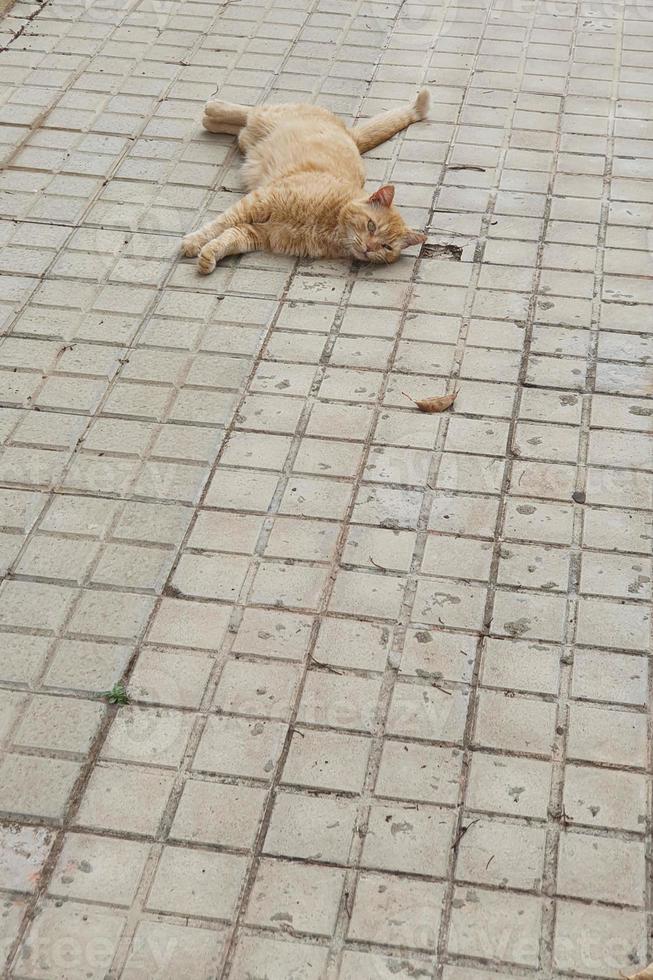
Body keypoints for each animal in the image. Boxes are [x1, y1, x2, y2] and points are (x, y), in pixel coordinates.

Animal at [181, 90, 430, 274]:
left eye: (386, 247)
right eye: (371, 225)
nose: (369, 248)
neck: (330, 226)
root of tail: (350, 134)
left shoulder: (259, 234)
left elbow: (228, 238)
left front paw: (208, 257)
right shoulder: (258, 202)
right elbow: (219, 224)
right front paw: (192, 242)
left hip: (248, 140)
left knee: (236, 126)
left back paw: (211, 118)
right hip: (268, 118)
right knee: (248, 111)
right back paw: (213, 106)